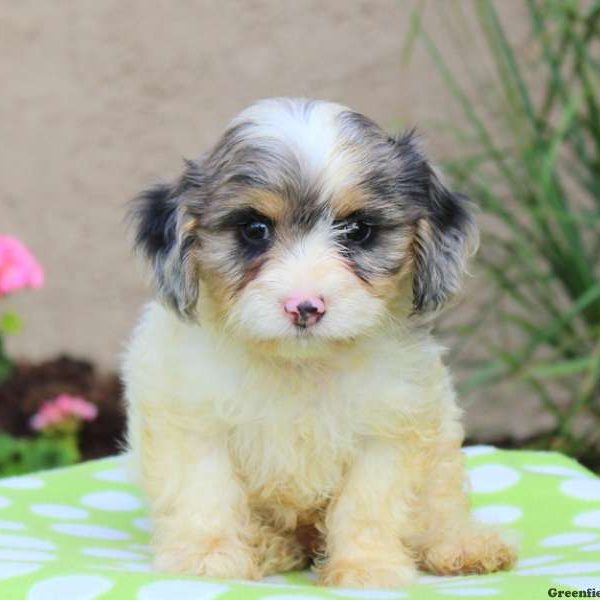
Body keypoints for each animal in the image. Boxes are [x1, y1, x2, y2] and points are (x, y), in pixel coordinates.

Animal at [123, 97, 516, 584]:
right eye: (254, 229)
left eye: (357, 230)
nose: (304, 306)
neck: (300, 365)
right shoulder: (194, 419)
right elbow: (206, 490)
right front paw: (208, 554)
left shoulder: (389, 426)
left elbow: (368, 505)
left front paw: (366, 567)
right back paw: (267, 546)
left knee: (440, 505)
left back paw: (461, 545)